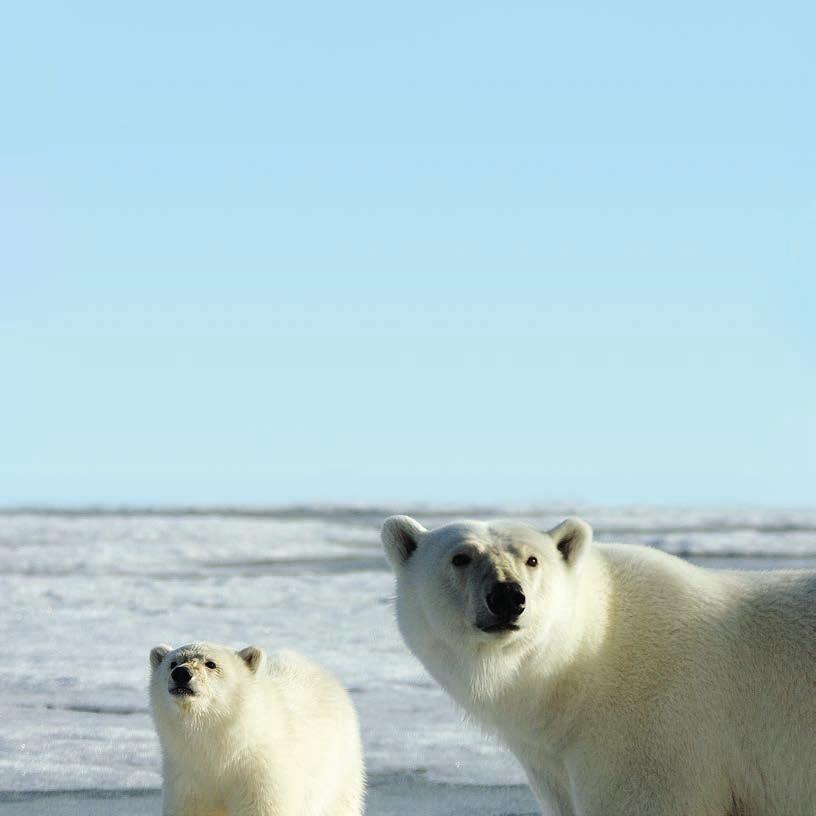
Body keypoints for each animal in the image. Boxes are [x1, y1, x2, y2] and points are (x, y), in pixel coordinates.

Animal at [149, 640, 364, 812]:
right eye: (172, 663)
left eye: (211, 663)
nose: (181, 673)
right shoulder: (188, 777)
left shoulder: (261, 773)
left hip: (338, 773)